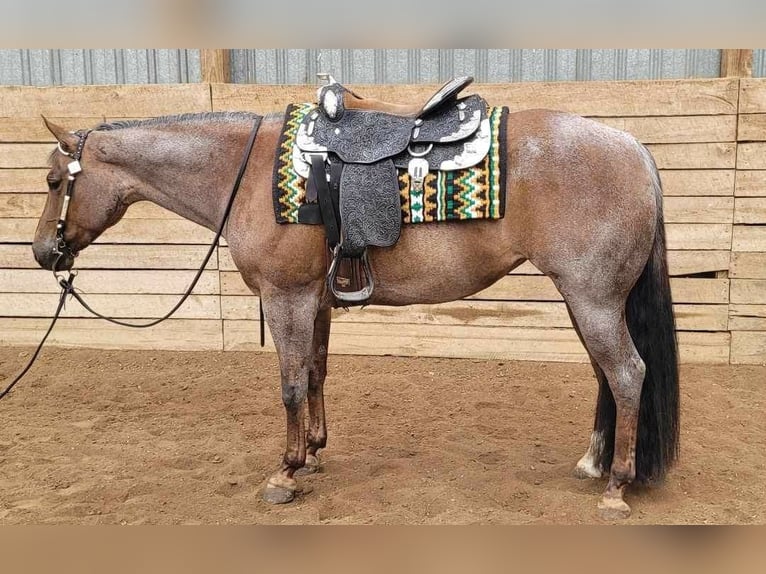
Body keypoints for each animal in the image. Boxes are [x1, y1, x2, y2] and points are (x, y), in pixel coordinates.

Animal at [33, 100, 679, 520]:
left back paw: (616, 486)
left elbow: (291, 383)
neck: (247, 175)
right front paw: (315, 453)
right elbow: (316, 372)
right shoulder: (313, 300)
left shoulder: (286, 296)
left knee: (627, 375)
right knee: (606, 376)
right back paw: (594, 464)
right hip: (587, 302)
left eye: (52, 181)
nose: (42, 252)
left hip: (593, 299)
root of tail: (634, 150)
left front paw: (285, 471)